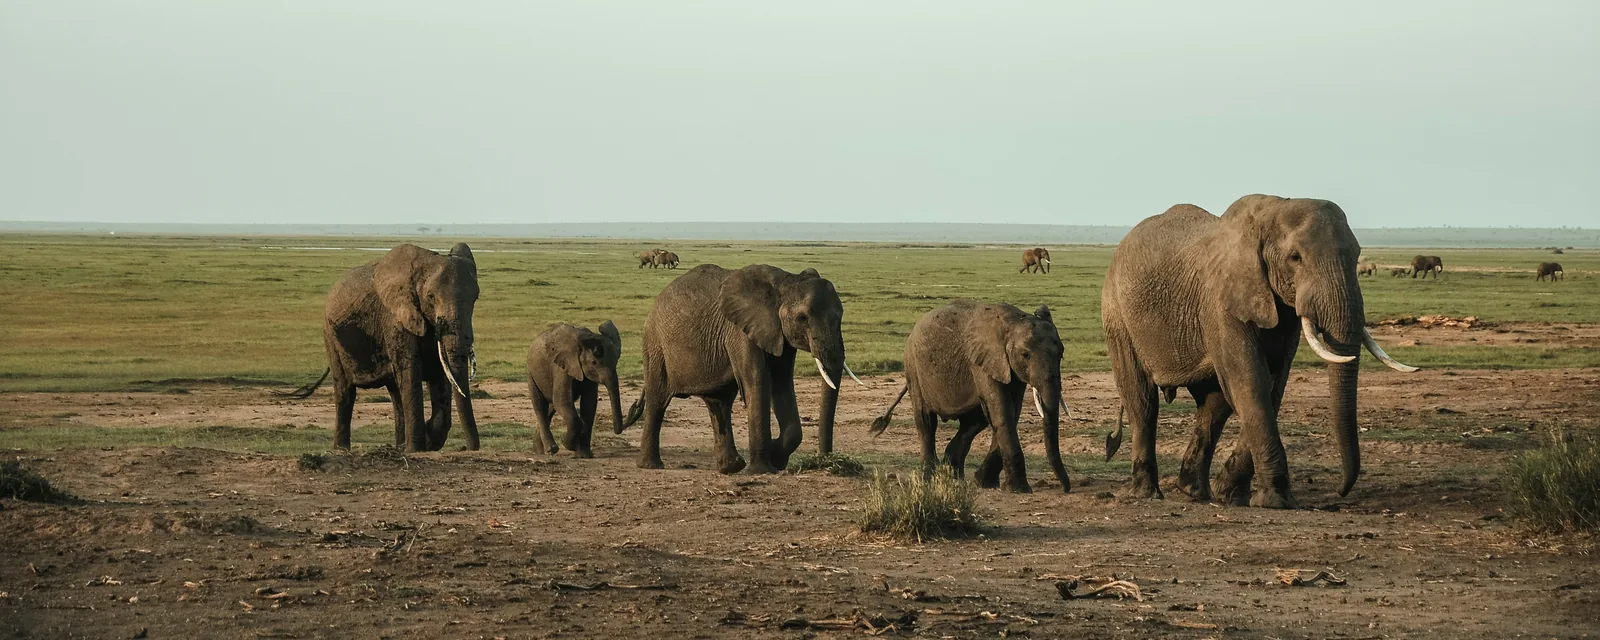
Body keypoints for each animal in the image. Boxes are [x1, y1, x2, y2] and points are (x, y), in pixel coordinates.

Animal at [278, 243, 482, 452]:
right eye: (431, 297)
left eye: (475, 297)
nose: (471, 447)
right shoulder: (395, 319)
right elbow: (411, 372)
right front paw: (416, 449)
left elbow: (438, 373)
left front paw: (423, 442)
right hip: (330, 336)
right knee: (345, 391)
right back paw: (342, 449)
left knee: (396, 394)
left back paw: (399, 445)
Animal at [527, 320, 625, 457]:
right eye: (593, 362)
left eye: (616, 362)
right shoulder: (562, 367)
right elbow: (562, 400)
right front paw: (567, 444)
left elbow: (589, 405)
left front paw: (584, 455)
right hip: (532, 373)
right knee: (540, 405)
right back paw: (550, 450)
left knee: (551, 406)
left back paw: (539, 451)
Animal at [623, 264, 863, 473]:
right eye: (803, 318)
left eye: (840, 316)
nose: (827, 460)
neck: (786, 282)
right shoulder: (740, 330)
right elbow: (758, 381)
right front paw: (763, 469)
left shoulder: (779, 334)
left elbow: (783, 383)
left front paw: (776, 457)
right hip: (655, 346)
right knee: (658, 400)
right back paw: (650, 466)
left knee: (718, 403)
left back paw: (730, 468)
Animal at [870, 300, 1069, 493]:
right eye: (1025, 355)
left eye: (1061, 353)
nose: (1066, 489)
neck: (1013, 322)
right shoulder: (983, 362)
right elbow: (1002, 410)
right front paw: (1018, 490)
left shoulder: (1009, 367)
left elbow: (1011, 411)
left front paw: (985, 483)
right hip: (913, 367)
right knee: (926, 420)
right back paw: (930, 477)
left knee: (974, 421)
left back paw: (953, 475)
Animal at [1100, 195, 1417, 509]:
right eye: (1295, 258)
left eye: (1356, 256)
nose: (1341, 491)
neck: (1272, 211)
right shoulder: (1220, 302)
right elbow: (1251, 383)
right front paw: (1276, 500)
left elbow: (1272, 387)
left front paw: (1232, 494)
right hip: (1117, 314)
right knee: (1142, 400)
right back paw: (1145, 493)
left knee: (1213, 405)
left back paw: (1194, 492)